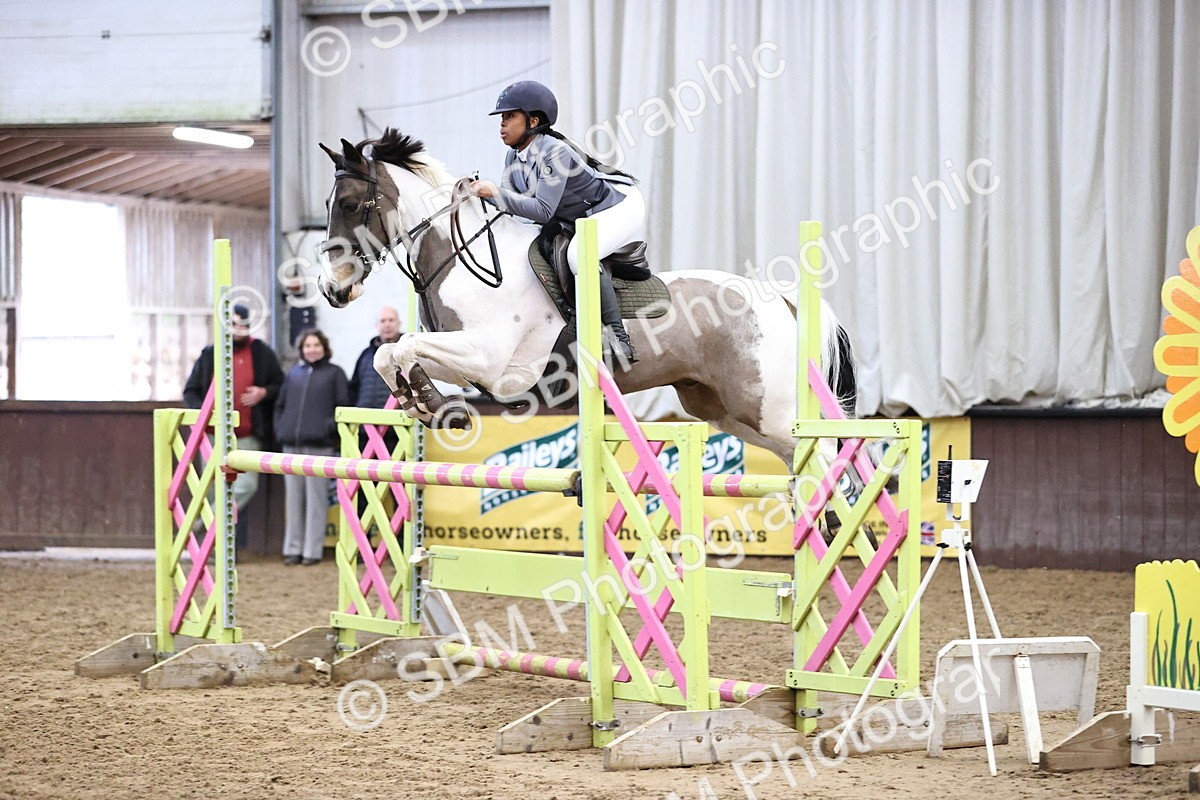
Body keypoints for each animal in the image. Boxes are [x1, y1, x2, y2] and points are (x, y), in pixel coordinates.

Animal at [317, 129, 856, 466]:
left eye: (351, 205)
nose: (332, 288)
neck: (459, 256)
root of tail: (782, 300)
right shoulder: (469, 365)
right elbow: (391, 353)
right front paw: (425, 402)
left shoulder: (492, 361)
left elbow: (402, 345)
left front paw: (430, 403)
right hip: (721, 408)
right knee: (799, 456)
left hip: (767, 405)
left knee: (824, 451)